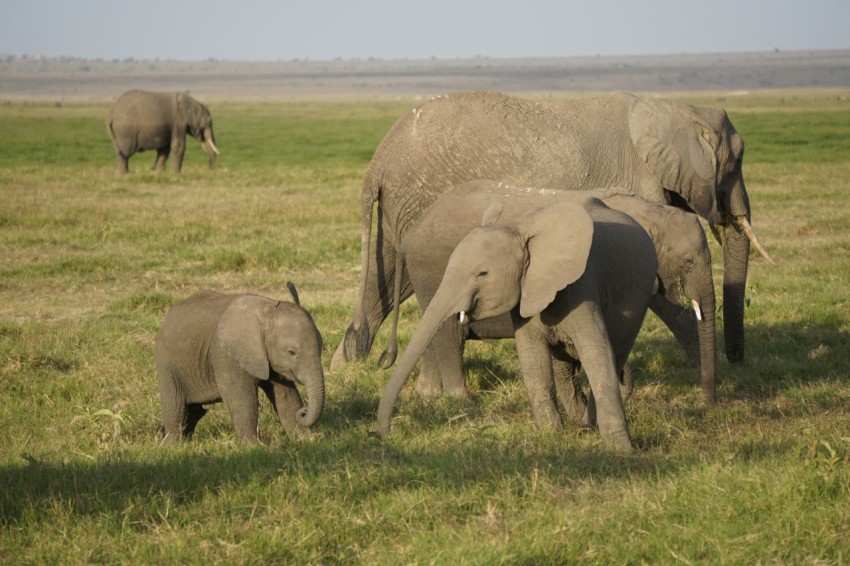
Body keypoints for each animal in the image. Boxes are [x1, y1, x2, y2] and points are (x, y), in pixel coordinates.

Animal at [154, 284, 322, 444]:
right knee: (176, 406)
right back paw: (172, 445)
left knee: (195, 410)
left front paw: (307, 441)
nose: (304, 411)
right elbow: (242, 398)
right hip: (166, 363)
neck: (267, 310)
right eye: (291, 352)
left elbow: (286, 396)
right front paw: (253, 447)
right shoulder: (226, 355)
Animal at [334, 91, 772, 374]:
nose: (738, 362)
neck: (673, 108)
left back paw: (346, 365)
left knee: (387, 278)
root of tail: (378, 159)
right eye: (736, 161)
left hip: (404, 207)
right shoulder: (637, 184)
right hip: (419, 197)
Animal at [374, 195, 660, 452]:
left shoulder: (582, 285)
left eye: (482, 273)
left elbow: (596, 354)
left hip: (637, 300)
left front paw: (621, 450)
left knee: (616, 351)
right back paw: (583, 424)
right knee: (564, 366)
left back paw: (589, 423)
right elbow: (533, 359)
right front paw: (552, 436)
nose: (388, 434)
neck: (518, 230)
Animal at [382, 185, 716, 408]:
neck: (649, 212)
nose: (706, 401)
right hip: (433, 269)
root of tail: (409, 235)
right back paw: (463, 403)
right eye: (688, 261)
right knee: (450, 334)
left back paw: (427, 396)